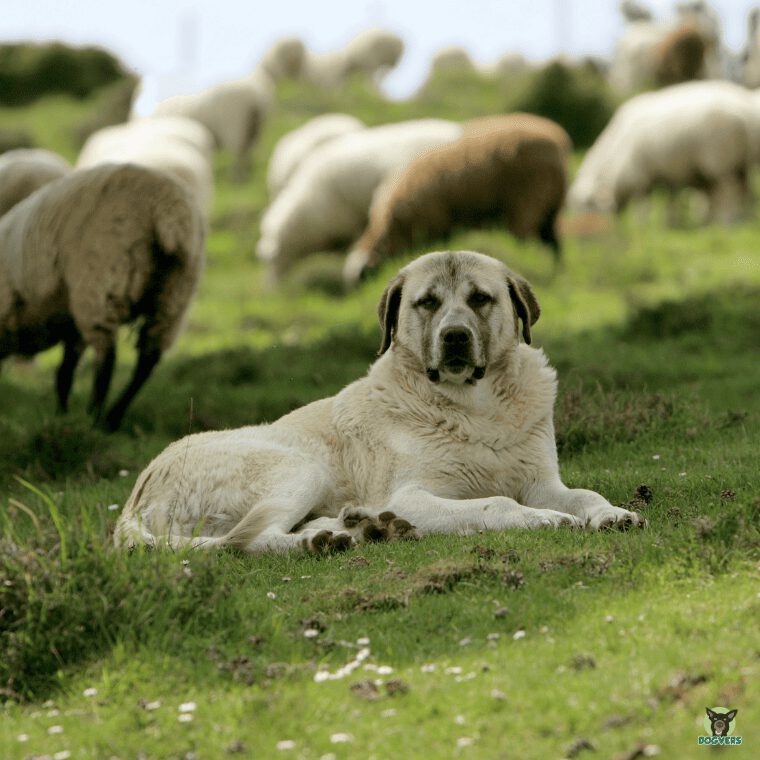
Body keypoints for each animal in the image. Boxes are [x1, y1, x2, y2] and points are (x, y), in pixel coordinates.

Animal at [0, 163, 205, 431]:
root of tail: (167, 207)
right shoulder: (71, 325)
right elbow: (64, 373)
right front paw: (62, 416)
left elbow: (66, 371)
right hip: (175, 295)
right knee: (147, 358)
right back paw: (113, 417)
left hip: (99, 284)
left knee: (107, 358)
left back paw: (94, 417)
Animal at [343, 114, 570, 286]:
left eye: (364, 276)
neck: (394, 227)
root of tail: (556, 143)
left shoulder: (434, 224)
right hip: (549, 208)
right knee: (555, 245)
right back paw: (557, 273)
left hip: (528, 202)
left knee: (528, 244)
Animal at [567, 80, 759, 224]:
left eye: (588, 206)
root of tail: (740, 117)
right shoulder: (668, 172)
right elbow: (671, 199)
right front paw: (671, 221)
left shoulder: (640, 175)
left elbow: (643, 203)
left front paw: (641, 223)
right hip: (739, 163)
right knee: (744, 190)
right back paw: (742, 217)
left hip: (719, 162)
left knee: (728, 189)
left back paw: (727, 220)